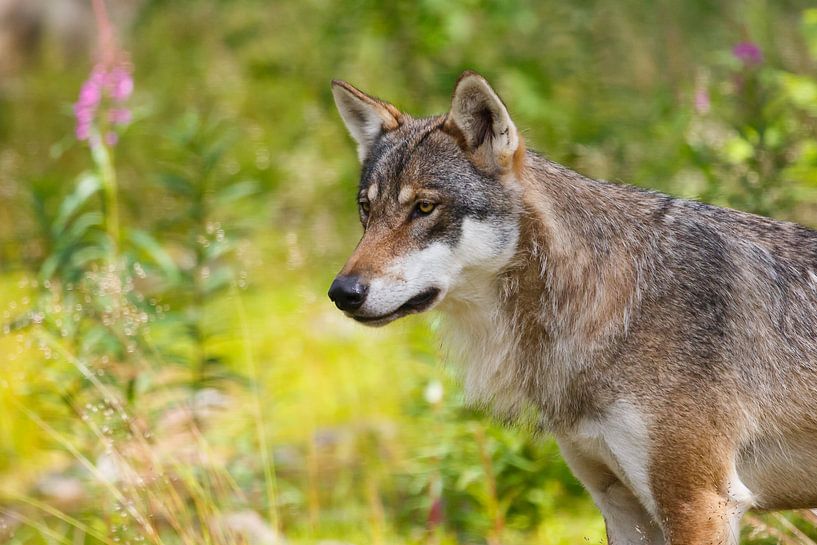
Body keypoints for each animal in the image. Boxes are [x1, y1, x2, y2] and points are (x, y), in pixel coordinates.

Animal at [326, 70, 816, 540]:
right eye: (366, 209)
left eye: (425, 207)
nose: (342, 292)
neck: (618, 306)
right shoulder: (622, 505)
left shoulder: (699, 504)